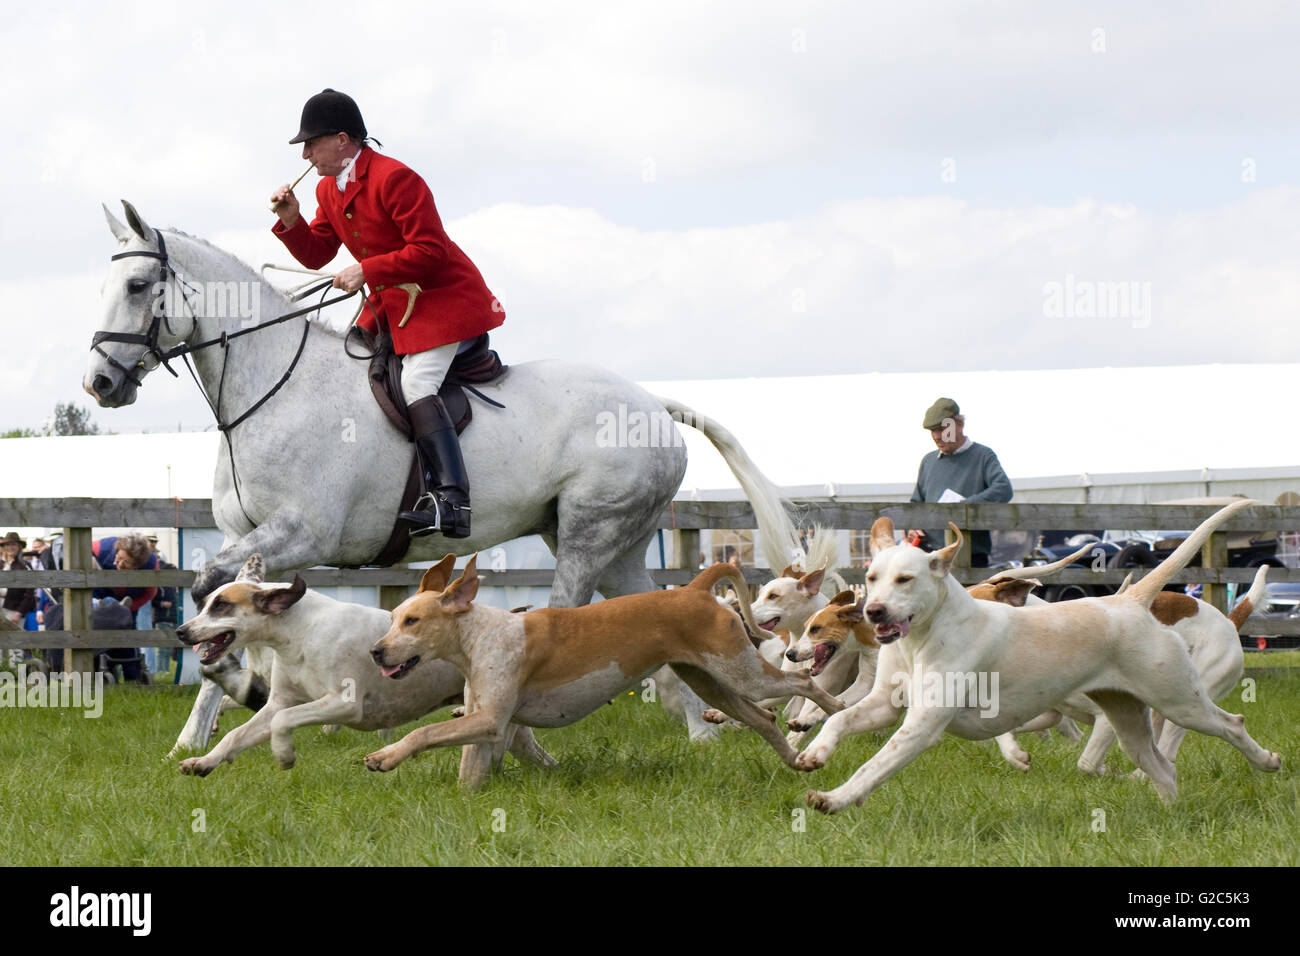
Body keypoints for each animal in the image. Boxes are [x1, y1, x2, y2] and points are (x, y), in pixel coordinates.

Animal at [86, 204, 800, 764]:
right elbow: (223, 602)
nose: (101, 384)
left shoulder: (302, 534)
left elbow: (211, 587)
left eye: (139, 283)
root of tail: (652, 404)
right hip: (613, 542)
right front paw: (200, 728)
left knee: (567, 616)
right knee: (653, 610)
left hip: (589, 533)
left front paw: (242, 688)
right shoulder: (254, 541)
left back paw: (524, 737)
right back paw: (700, 729)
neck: (272, 389)